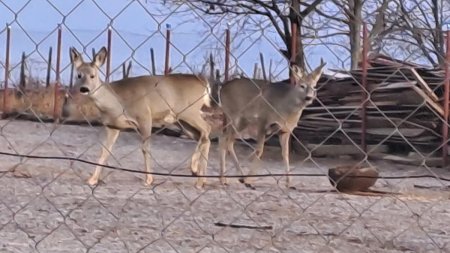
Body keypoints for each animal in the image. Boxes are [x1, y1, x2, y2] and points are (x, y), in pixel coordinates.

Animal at [62, 46, 214, 189]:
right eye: (78, 75)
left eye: (93, 75)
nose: (84, 89)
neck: (116, 102)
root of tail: (205, 83)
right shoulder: (113, 126)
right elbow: (105, 151)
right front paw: (92, 180)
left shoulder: (144, 116)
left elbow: (145, 148)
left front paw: (149, 179)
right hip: (181, 120)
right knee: (202, 136)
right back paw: (200, 177)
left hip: (190, 111)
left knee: (207, 129)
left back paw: (197, 174)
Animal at [216, 60, 326, 188]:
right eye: (301, 86)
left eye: (314, 87)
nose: (308, 97)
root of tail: (222, 88)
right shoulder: (262, 121)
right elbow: (259, 150)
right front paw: (249, 179)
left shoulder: (285, 130)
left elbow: (285, 154)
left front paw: (289, 183)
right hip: (235, 117)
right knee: (226, 140)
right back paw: (237, 177)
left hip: (239, 124)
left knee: (224, 139)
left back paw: (226, 179)